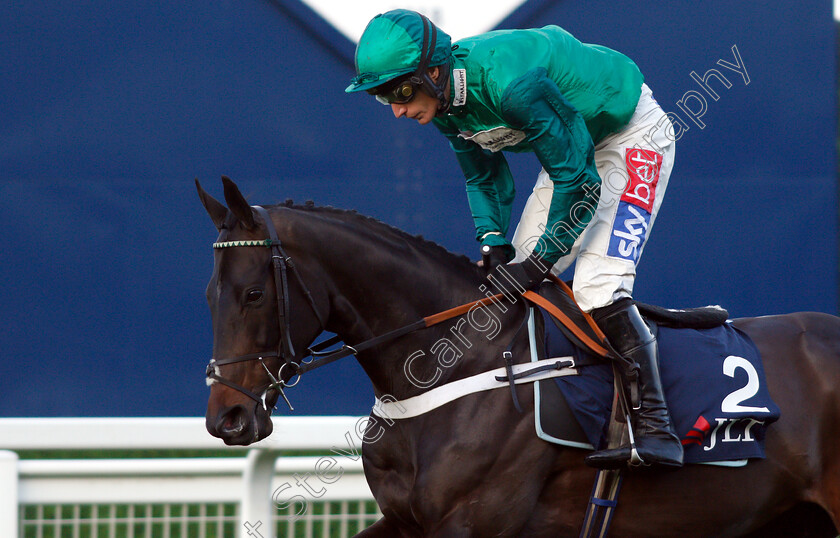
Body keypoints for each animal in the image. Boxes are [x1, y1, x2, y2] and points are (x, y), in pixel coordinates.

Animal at [199, 177, 840, 536]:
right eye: (209, 295)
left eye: (252, 294)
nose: (227, 418)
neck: (449, 362)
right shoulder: (406, 522)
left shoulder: (470, 521)